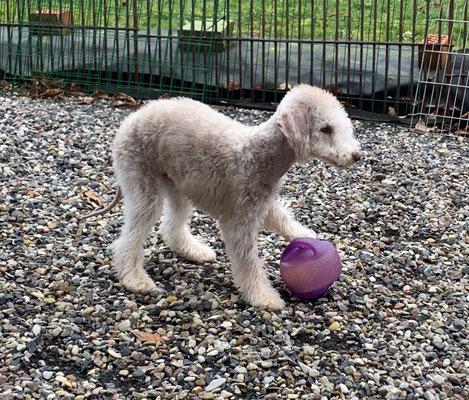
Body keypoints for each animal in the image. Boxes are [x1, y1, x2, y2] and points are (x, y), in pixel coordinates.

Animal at [83, 83, 358, 310]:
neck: (260, 154)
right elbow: (247, 262)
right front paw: (264, 297)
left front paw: (305, 234)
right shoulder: (241, 220)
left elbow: (281, 218)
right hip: (141, 182)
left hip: (178, 185)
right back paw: (135, 279)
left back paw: (193, 251)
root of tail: (132, 117)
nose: (356, 155)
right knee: (129, 239)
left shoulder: (263, 201)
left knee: (171, 225)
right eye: (325, 129)